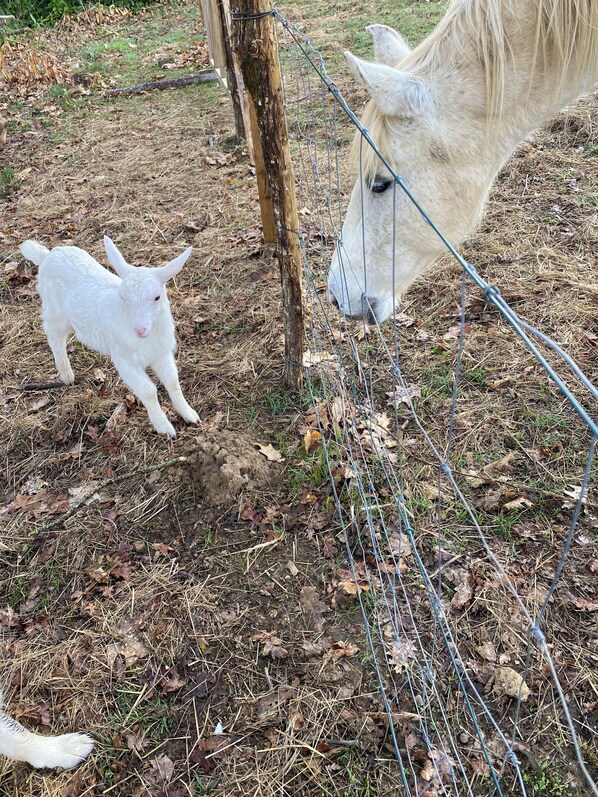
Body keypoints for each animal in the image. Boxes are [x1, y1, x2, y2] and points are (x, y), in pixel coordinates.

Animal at [20, 237, 199, 437]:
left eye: (157, 297)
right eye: (123, 298)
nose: (140, 330)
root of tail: (46, 255)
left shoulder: (161, 353)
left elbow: (173, 382)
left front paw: (189, 414)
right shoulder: (124, 360)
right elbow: (148, 391)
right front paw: (164, 427)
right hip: (54, 311)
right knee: (54, 338)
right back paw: (66, 375)